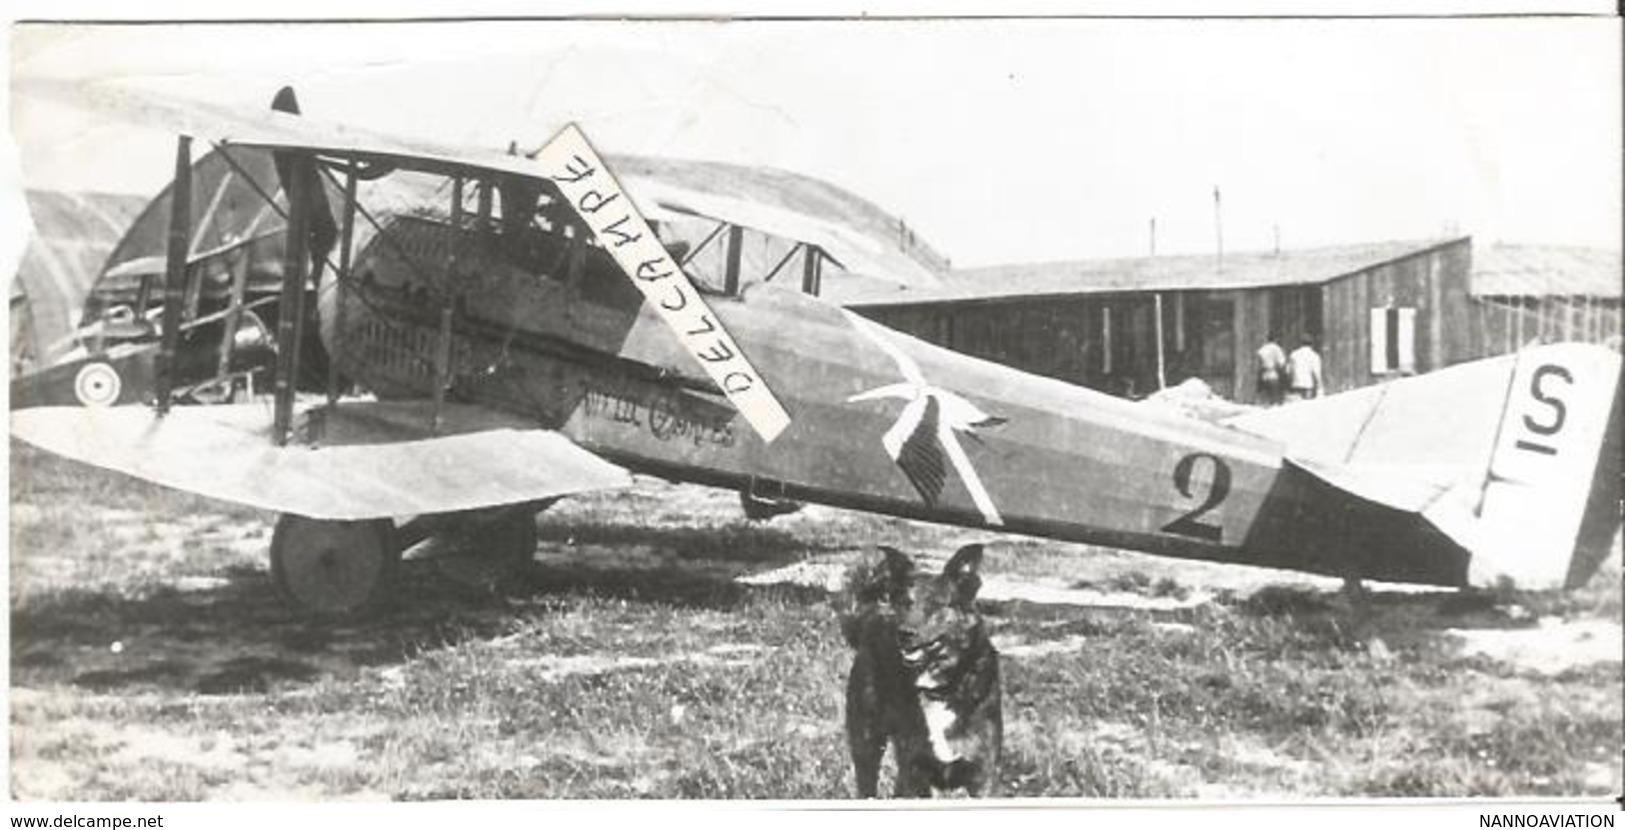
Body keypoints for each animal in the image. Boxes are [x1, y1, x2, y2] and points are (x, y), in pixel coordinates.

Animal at [838, 545, 1001, 799]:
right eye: (905, 602)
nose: (904, 633)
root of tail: (871, 615)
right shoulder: (914, 773)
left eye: (935, 604)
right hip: (866, 743)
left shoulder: (983, 777)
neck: (940, 688)